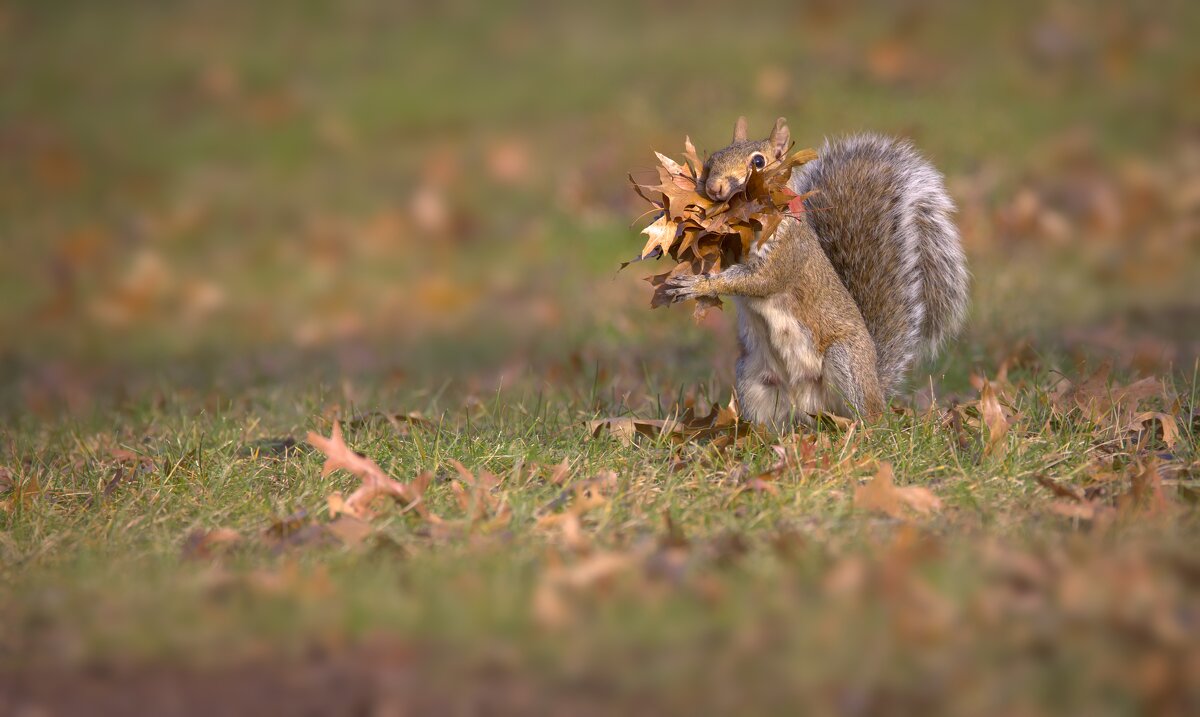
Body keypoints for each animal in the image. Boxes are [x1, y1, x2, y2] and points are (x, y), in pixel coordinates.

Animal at [662, 114, 969, 424]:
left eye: (758, 162)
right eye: (713, 159)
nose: (714, 188)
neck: (749, 225)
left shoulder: (787, 253)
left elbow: (760, 280)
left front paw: (696, 284)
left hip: (845, 361)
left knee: (866, 415)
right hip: (751, 378)